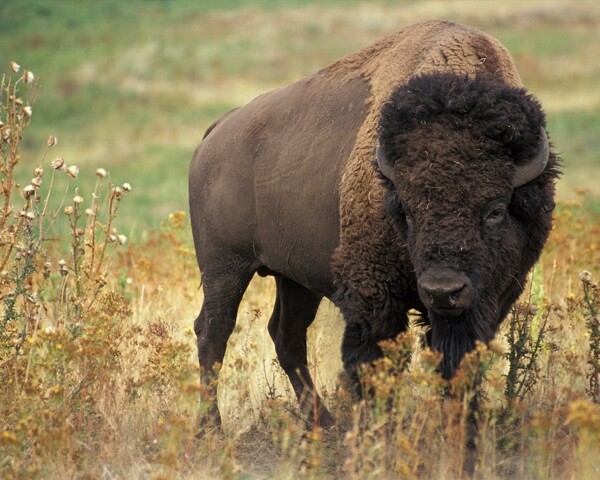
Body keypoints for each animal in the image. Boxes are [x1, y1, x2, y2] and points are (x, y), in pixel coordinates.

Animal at [190, 20, 560, 430]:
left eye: (495, 210)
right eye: (408, 212)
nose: (442, 291)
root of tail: (217, 131)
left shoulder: (492, 298)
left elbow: (460, 361)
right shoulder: (374, 295)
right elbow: (374, 362)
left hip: (294, 277)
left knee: (286, 335)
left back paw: (323, 424)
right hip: (224, 267)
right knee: (214, 332)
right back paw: (211, 428)